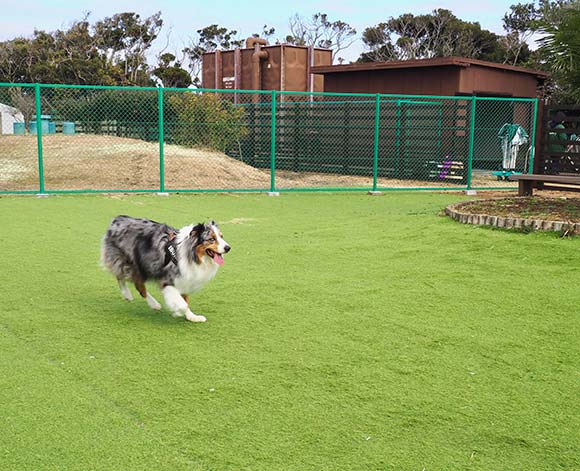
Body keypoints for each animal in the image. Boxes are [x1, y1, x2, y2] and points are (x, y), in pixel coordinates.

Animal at [99, 217, 229, 320]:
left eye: (221, 237)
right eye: (212, 239)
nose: (228, 248)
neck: (191, 254)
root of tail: (117, 219)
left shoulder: (184, 278)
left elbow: (186, 300)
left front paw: (192, 317)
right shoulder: (168, 280)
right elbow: (182, 303)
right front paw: (177, 311)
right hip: (131, 263)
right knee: (128, 280)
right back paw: (139, 298)